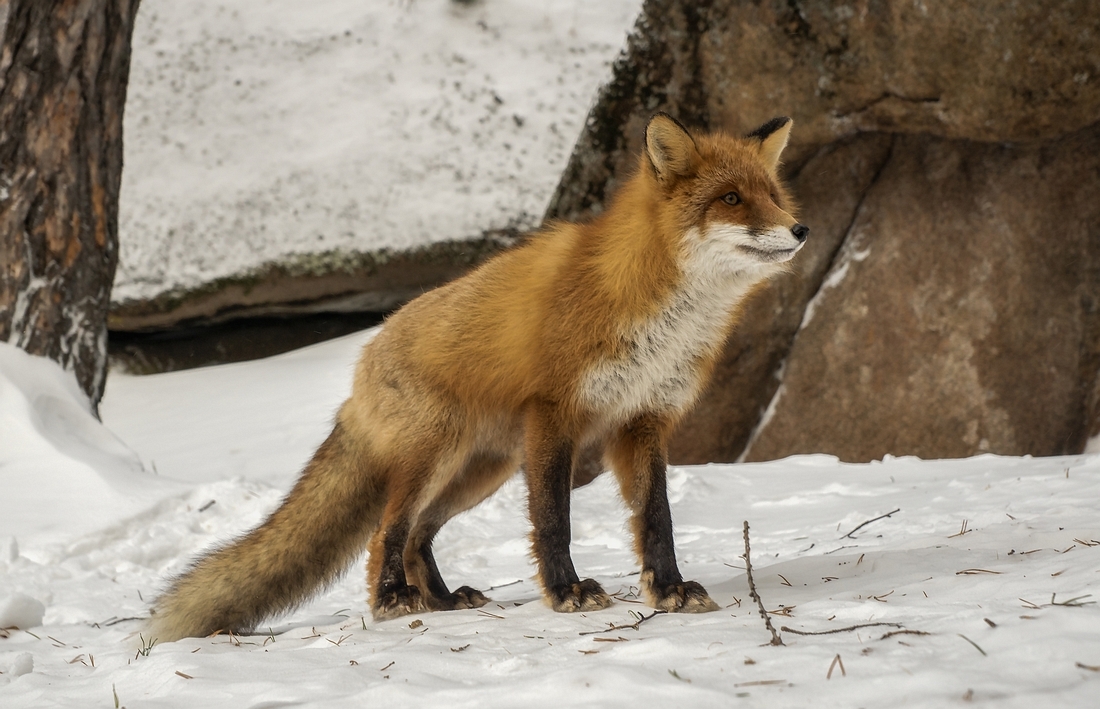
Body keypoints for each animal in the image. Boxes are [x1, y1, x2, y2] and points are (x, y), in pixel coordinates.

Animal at [148, 112, 809, 641]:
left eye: (774, 195)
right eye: (730, 198)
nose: (800, 230)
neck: (654, 307)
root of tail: (360, 368)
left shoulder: (643, 420)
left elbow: (657, 519)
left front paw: (669, 589)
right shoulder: (554, 414)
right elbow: (554, 520)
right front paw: (566, 593)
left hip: (480, 471)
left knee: (417, 536)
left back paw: (442, 601)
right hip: (435, 456)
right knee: (385, 532)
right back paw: (393, 601)